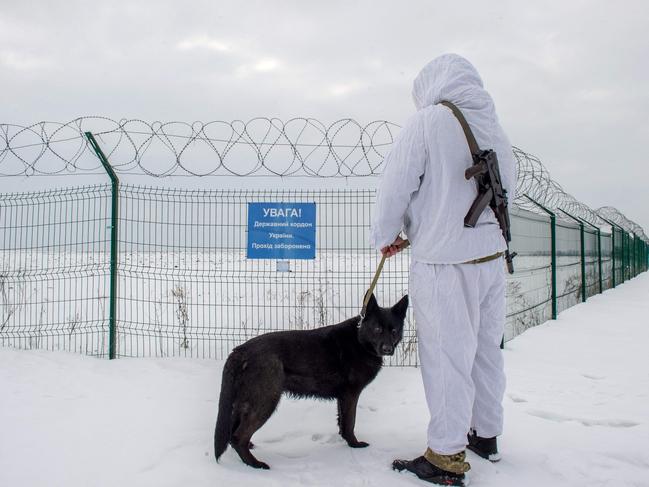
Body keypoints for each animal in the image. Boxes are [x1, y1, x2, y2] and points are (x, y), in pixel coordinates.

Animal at [214, 294, 404, 468]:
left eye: (394, 331)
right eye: (378, 329)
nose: (387, 349)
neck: (359, 339)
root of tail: (240, 351)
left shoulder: (343, 397)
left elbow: (343, 422)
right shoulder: (351, 395)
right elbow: (350, 422)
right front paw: (354, 444)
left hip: (245, 403)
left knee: (233, 433)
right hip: (265, 402)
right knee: (238, 437)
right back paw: (254, 464)